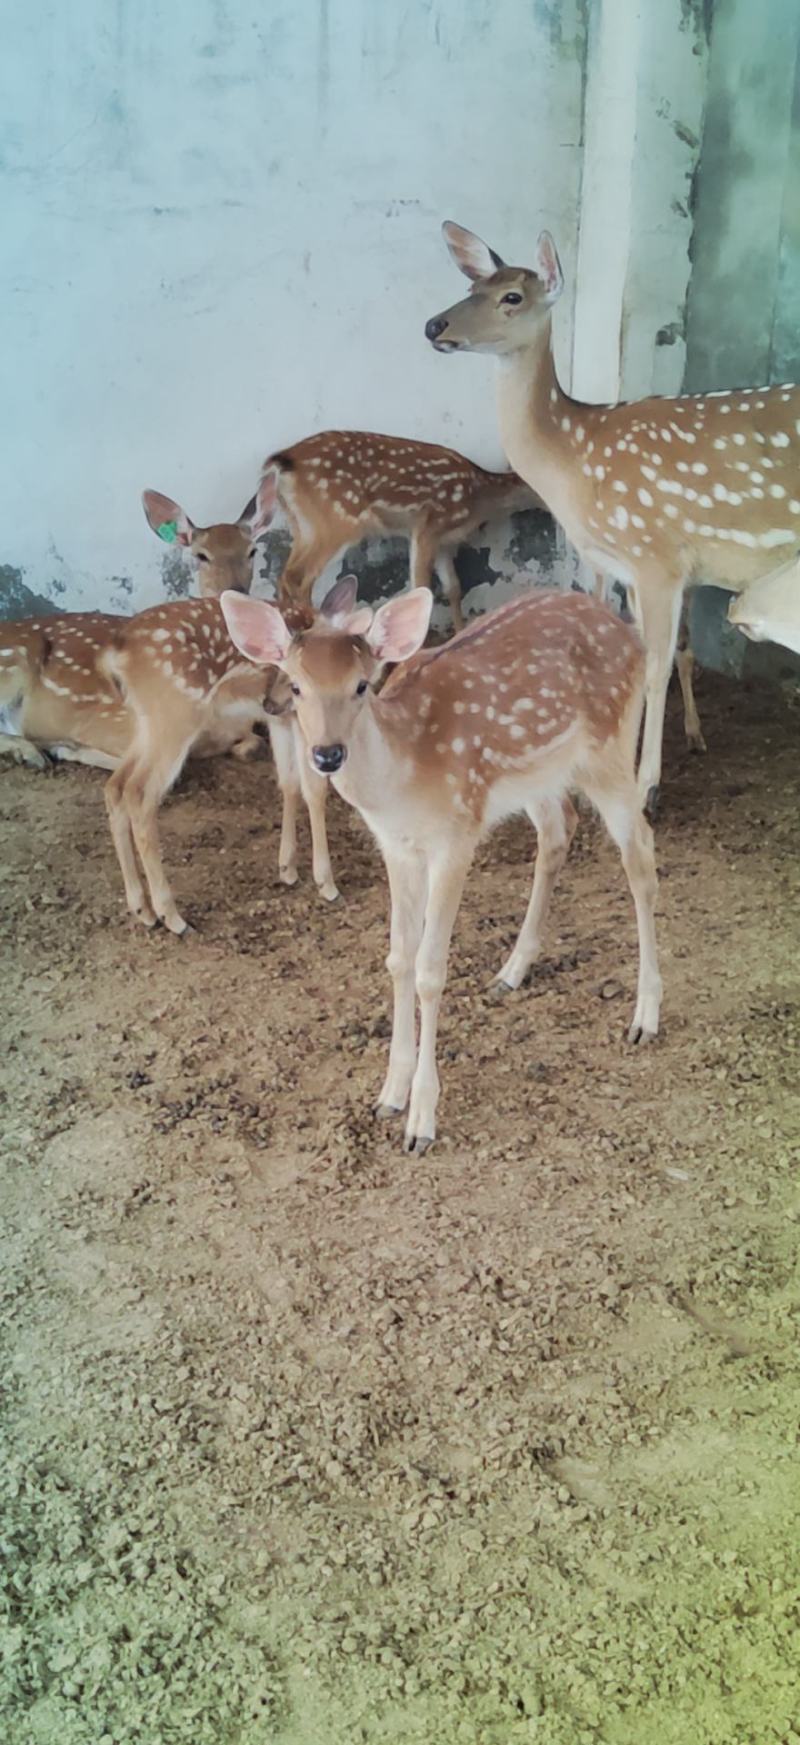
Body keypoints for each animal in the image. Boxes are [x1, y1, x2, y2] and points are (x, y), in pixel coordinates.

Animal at [219, 583, 662, 1153]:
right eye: (296, 685)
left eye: (361, 684)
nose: (327, 754)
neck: (403, 780)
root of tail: (628, 632)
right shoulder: (397, 847)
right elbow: (397, 959)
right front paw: (389, 1094)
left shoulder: (456, 835)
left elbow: (430, 971)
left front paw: (421, 1121)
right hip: (535, 775)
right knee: (558, 829)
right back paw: (511, 972)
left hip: (610, 747)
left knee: (640, 853)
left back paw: (645, 1016)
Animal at [256, 430, 537, 631]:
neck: (478, 497)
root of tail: (284, 460)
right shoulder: (429, 525)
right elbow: (421, 588)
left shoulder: (446, 543)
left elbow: (454, 587)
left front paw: (459, 632)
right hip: (339, 519)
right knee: (299, 577)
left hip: (301, 524)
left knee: (285, 575)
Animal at [424, 221, 800, 817]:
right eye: (472, 285)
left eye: (513, 296)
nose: (434, 325)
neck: (575, 459)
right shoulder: (626, 567)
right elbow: (635, 659)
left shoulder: (658, 557)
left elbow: (656, 666)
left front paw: (647, 788)